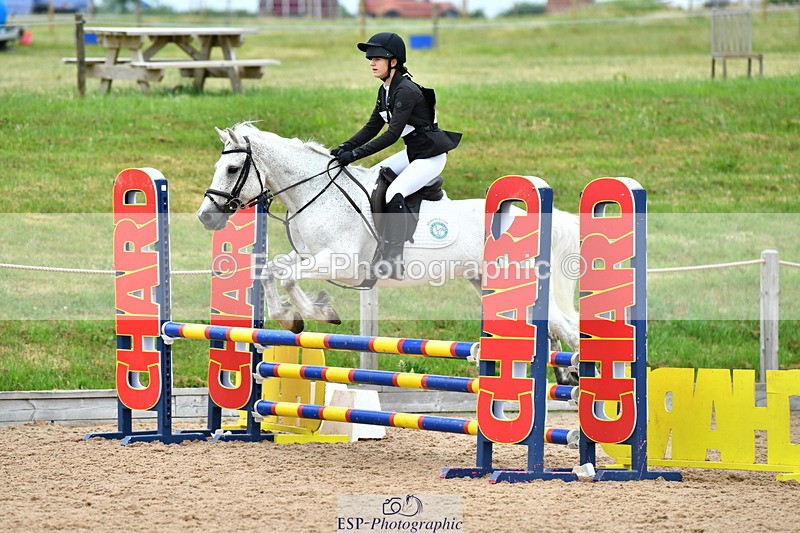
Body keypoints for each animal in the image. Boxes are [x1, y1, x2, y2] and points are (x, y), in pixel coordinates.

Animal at [196, 123, 581, 384]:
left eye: (232, 169)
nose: (206, 217)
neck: (318, 194)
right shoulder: (311, 256)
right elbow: (271, 270)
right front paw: (295, 316)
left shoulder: (343, 264)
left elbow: (288, 277)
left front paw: (315, 313)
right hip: (486, 281)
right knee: (554, 327)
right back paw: (567, 376)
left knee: (566, 326)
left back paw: (577, 379)